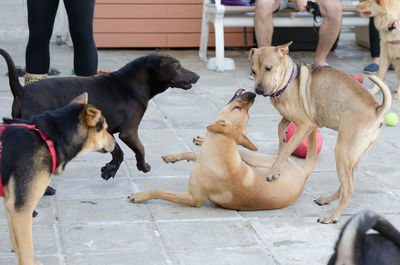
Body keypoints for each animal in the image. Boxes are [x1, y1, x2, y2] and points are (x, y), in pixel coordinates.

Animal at [0, 93, 115, 264]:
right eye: (105, 128)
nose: (115, 142)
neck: (48, 139)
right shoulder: (21, 208)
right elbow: (27, 250)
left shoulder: (11, 204)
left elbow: (18, 243)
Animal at [126, 89, 318, 209]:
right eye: (242, 110)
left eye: (238, 107)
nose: (253, 94)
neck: (220, 147)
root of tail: (303, 173)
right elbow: (191, 153)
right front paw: (173, 157)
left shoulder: (193, 198)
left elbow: (161, 191)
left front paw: (140, 196)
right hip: (248, 157)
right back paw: (200, 141)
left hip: (255, 157)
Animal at [248, 42, 392, 223]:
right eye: (253, 71)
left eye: (268, 68)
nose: (259, 90)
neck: (288, 81)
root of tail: (377, 110)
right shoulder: (291, 118)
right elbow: (281, 128)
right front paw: (282, 142)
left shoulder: (306, 124)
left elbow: (287, 149)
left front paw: (274, 171)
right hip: (353, 157)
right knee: (345, 185)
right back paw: (327, 200)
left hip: (343, 152)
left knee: (348, 190)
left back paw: (331, 217)